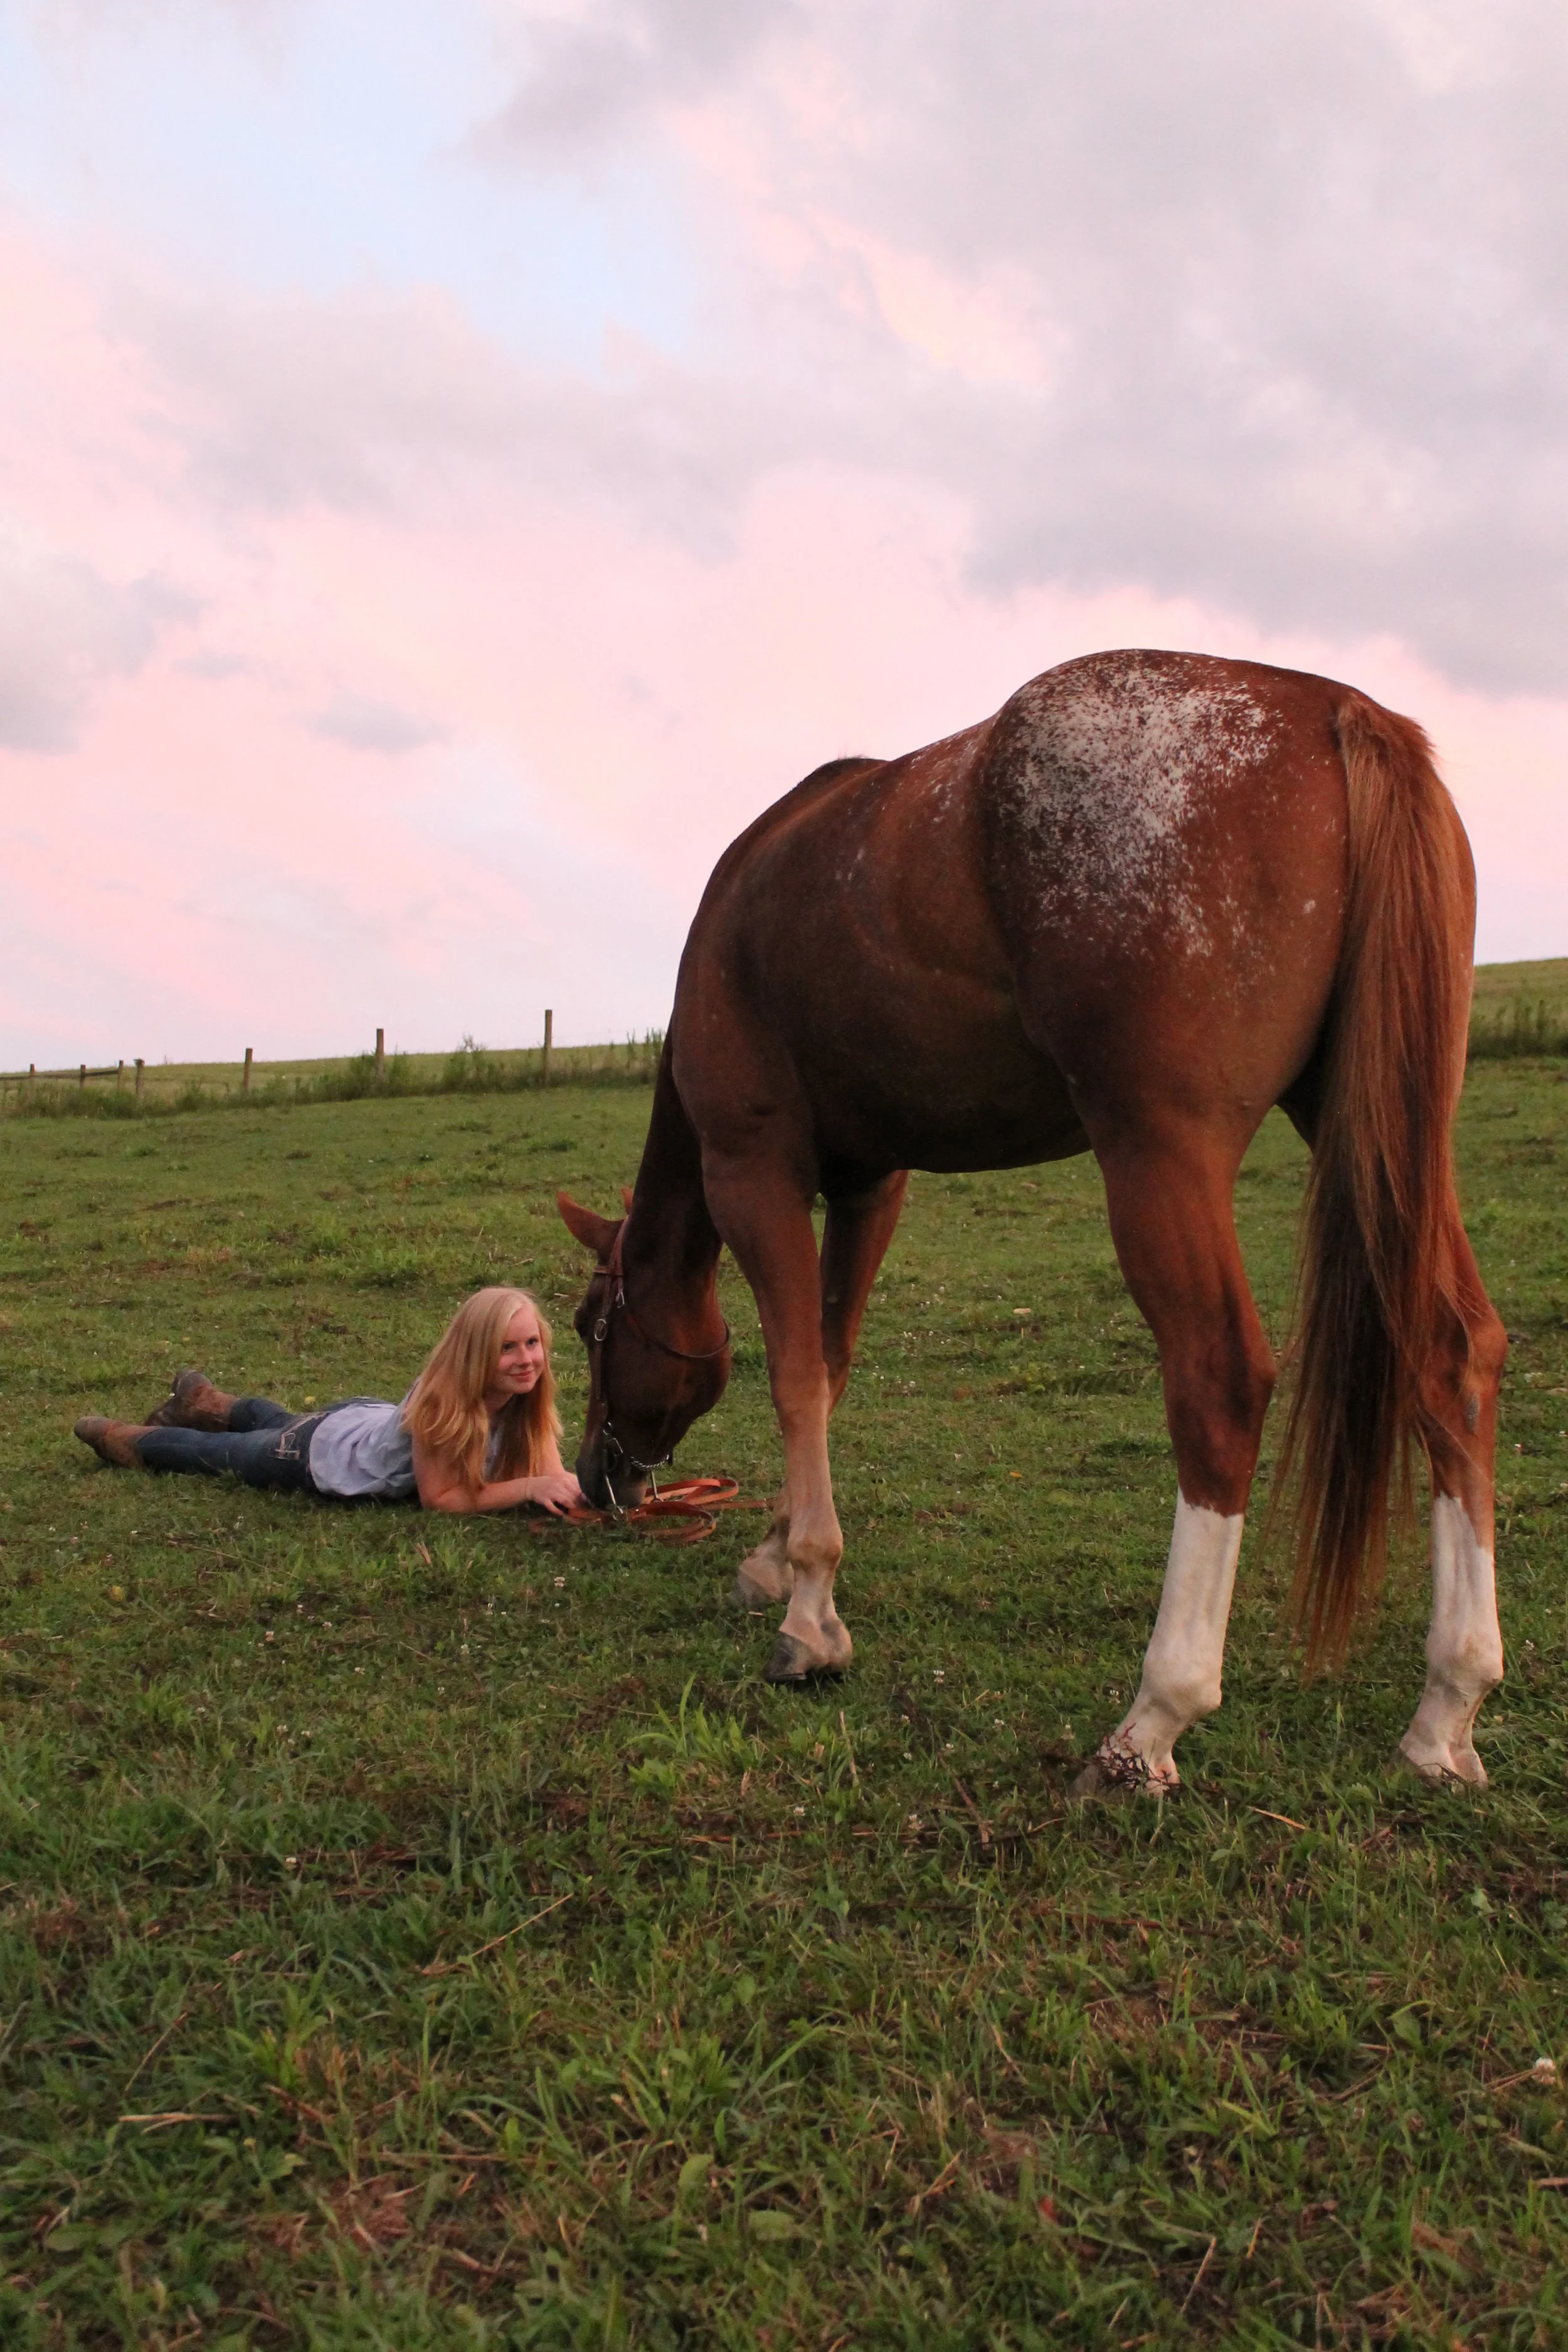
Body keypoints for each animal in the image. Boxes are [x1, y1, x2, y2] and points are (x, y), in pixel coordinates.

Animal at [557, 648, 1506, 1793]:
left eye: (589, 1327)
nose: (595, 1477)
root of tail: (1336, 709)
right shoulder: (873, 1185)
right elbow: (831, 1364)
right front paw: (777, 1554)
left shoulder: (756, 1173)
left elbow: (794, 1380)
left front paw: (810, 1611)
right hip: (1376, 1136)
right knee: (1452, 1354)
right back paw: (1448, 1706)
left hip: (1161, 1156)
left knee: (1222, 1380)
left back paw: (1153, 1720)